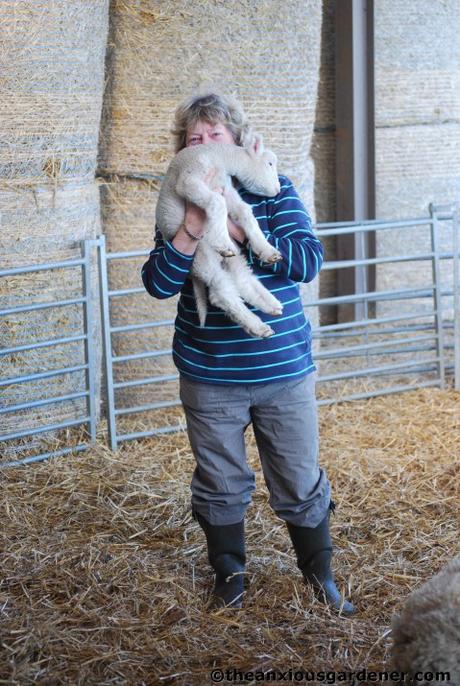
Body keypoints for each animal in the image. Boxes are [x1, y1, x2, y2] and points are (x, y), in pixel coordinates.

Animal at [155, 135, 284, 339]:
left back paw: (270, 304)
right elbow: (218, 202)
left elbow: (245, 212)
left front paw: (267, 250)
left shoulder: (226, 188)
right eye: (270, 163)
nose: (278, 189)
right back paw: (257, 325)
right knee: (221, 293)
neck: (220, 158)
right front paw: (222, 241)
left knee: (243, 281)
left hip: (232, 259)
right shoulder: (190, 180)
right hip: (202, 258)